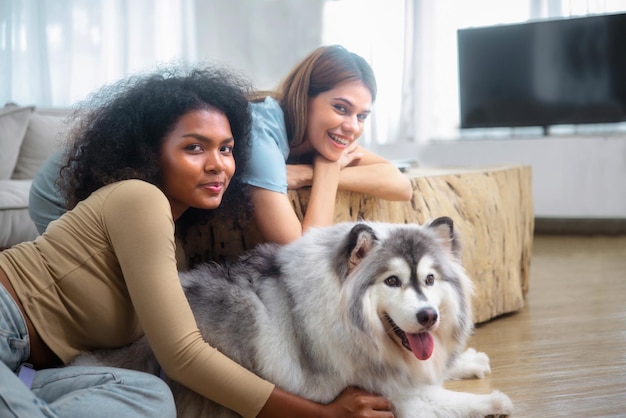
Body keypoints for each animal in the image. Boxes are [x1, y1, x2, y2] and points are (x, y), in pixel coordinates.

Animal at [73, 217, 512, 416]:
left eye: (430, 279)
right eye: (392, 280)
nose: (428, 316)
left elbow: (432, 373)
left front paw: (468, 362)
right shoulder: (386, 394)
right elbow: (436, 398)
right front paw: (492, 401)